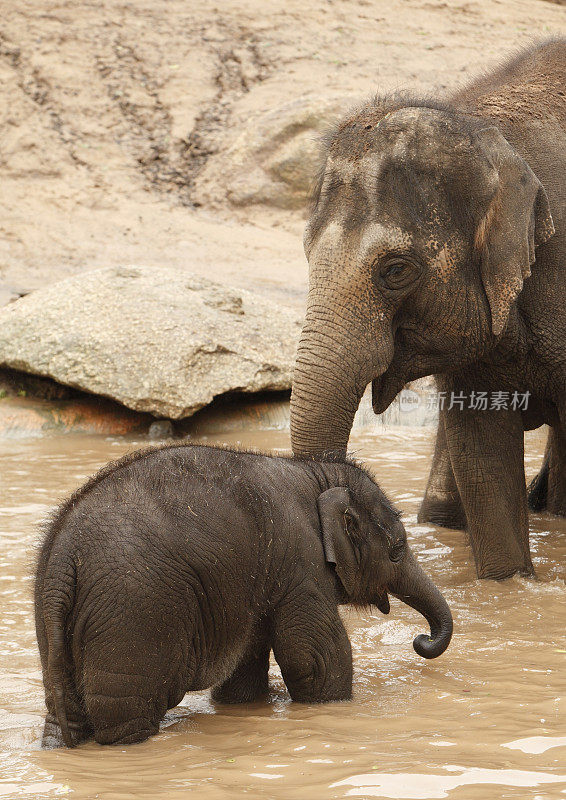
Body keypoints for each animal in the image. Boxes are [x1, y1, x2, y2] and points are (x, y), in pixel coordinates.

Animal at [34, 446, 452, 748]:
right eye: (397, 549)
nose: (420, 640)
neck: (314, 472)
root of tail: (62, 560)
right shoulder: (301, 565)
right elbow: (314, 659)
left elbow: (245, 669)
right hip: (134, 616)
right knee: (126, 715)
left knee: (66, 713)